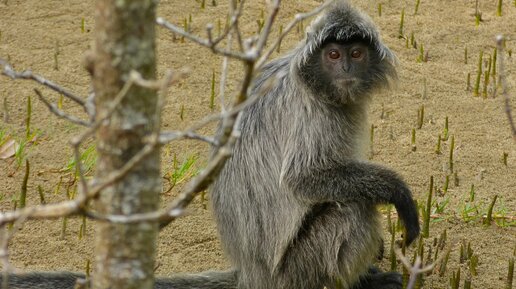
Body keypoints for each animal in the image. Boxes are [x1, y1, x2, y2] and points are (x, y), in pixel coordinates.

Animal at [0, 1, 420, 286]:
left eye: (356, 54)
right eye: (333, 55)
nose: (346, 69)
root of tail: (251, 275)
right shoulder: (315, 111)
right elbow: (304, 179)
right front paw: (398, 193)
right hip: (298, 269)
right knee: (354, 208)